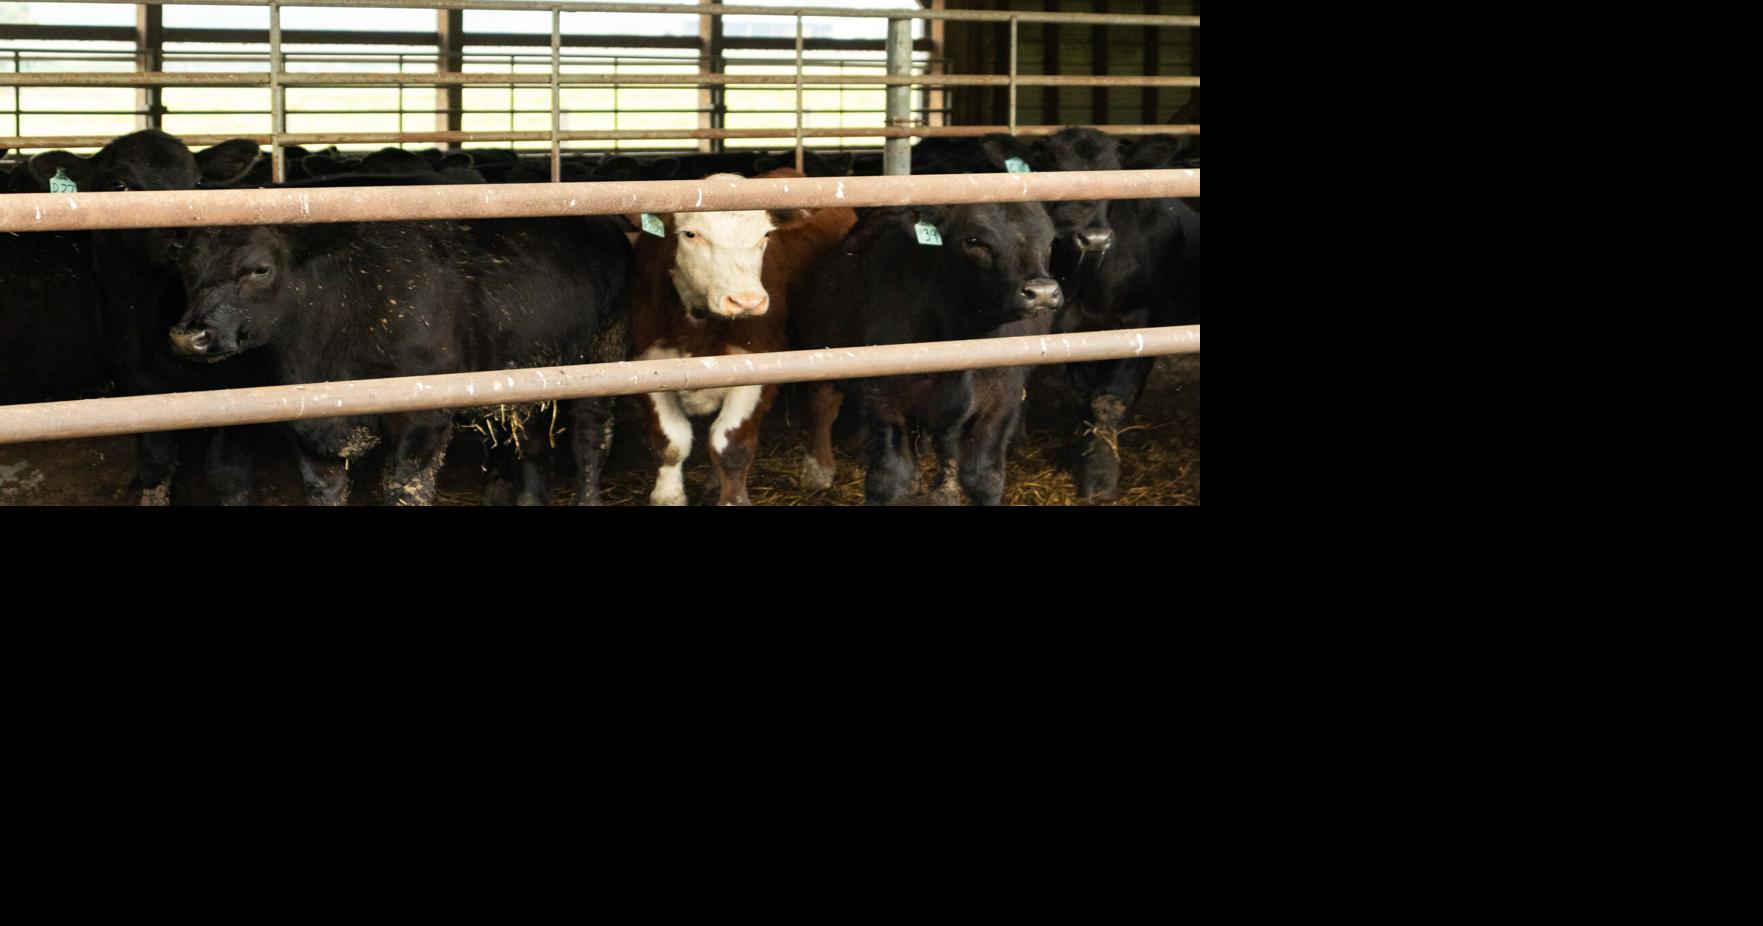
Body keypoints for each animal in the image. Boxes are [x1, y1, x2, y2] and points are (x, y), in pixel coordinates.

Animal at [167, 212, 631, 506]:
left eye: (260, 268)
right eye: (185, 268)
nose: (190, 337)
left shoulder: (424, 416)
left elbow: (407, 489)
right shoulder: (305, 424)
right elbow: (323, 490)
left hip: (602, 359)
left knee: (591, 441)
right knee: (531, 442)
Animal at [626, 169, 856, 506]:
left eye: (765, 236)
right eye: (691, 234)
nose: (747, 300)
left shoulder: (758, 369)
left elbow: (731, 446)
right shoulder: (647, 362)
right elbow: (671, 442)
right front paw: (668, 496)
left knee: (823, 401)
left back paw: (819, 469)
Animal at [791, 201, 1063, 505]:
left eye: (1049, 240)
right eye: (973, 241)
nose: (1041, 291)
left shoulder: (1003, 398)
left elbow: (984, 479)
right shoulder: (884, 397)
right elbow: (888, 479)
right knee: (822, 401)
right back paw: (819, 469)